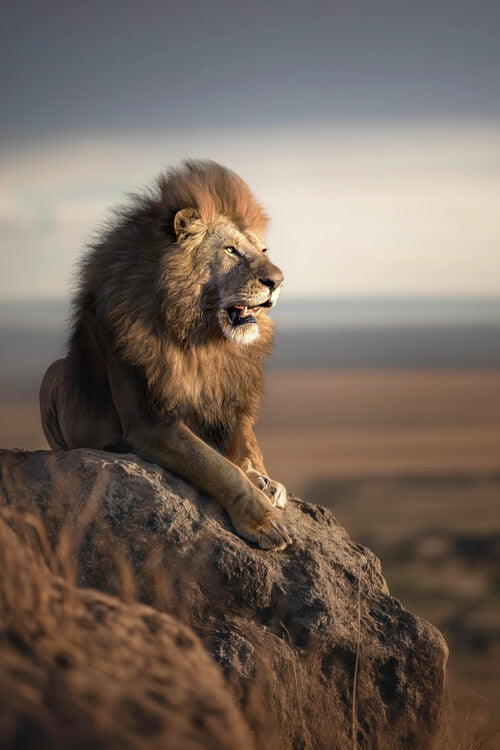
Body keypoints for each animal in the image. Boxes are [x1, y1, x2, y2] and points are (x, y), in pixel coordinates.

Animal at [40, 160, 291, 550]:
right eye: (230, 250)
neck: (202, 337)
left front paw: (265, 480)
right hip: (51, 376)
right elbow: (217, 467)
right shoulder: (150, 423)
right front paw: (264, 519)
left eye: (263, 252)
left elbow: (248, 445)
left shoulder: (230, 400)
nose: (277, 281)